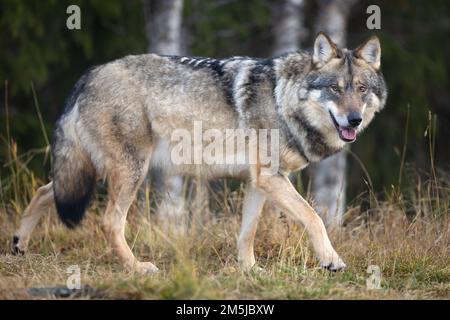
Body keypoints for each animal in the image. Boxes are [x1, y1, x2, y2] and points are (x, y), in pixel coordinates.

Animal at [13, 33, 386, 276]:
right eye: (336, 89)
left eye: (361, 90)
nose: (354, 119)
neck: (284, 101)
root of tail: (87, 75)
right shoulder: (271, 179)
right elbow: (314, 217)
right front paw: (331, 260)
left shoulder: (259, 182)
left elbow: (247, 233)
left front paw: (251, 270)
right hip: (128, 172)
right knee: (109, 222)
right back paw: (137, 268)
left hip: (89, 169)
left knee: (45, 191)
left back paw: (17, 245)